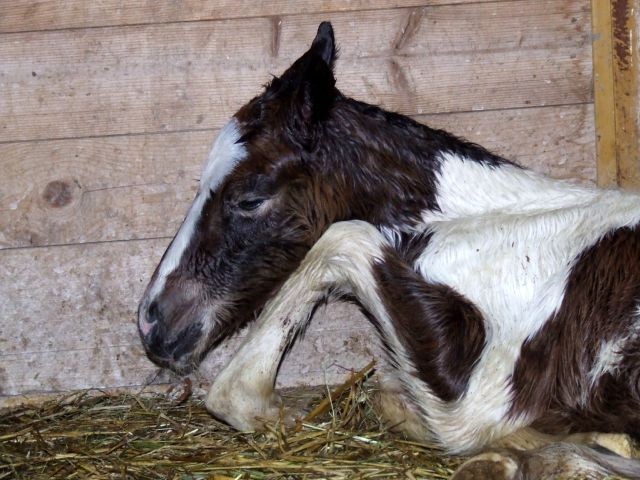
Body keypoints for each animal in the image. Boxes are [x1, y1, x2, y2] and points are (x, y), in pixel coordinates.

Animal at [138, 21, 640, 476]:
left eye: (249, 200)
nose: (151, 320)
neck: (509, 227)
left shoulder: (482, 401)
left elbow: (339, 236)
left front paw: (254, 403)